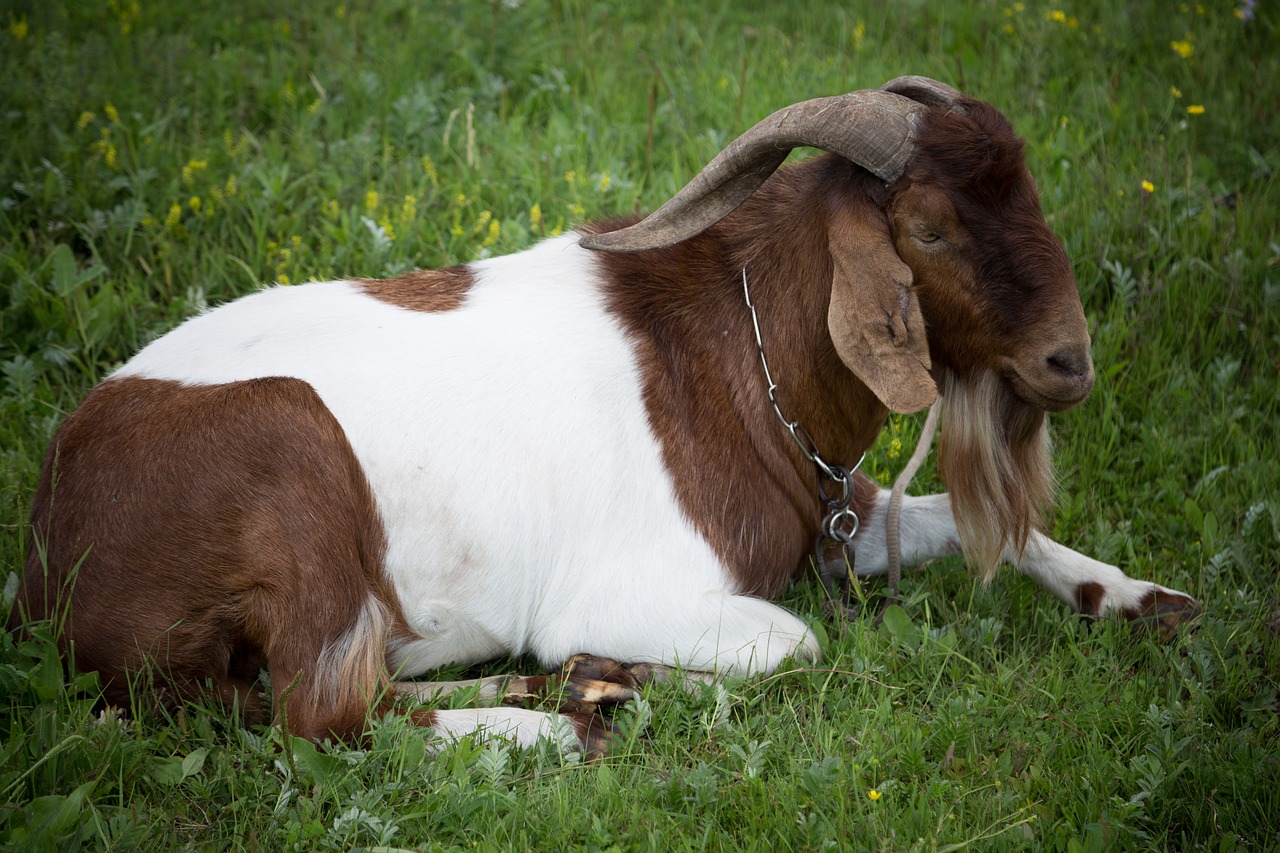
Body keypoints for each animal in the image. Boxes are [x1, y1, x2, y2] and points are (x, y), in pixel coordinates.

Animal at [10, 73, 1198, 753]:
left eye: (1026, 190)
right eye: (933, 227)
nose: (1068, 361)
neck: (737, 355)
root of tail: (44, 566)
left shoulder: (837, 512)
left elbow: (977, 529)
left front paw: (1141, 597)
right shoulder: (634, 585)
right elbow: (797, 641)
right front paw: (612, 672)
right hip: (291, 453)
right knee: (323, 713)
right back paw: (551, 720)